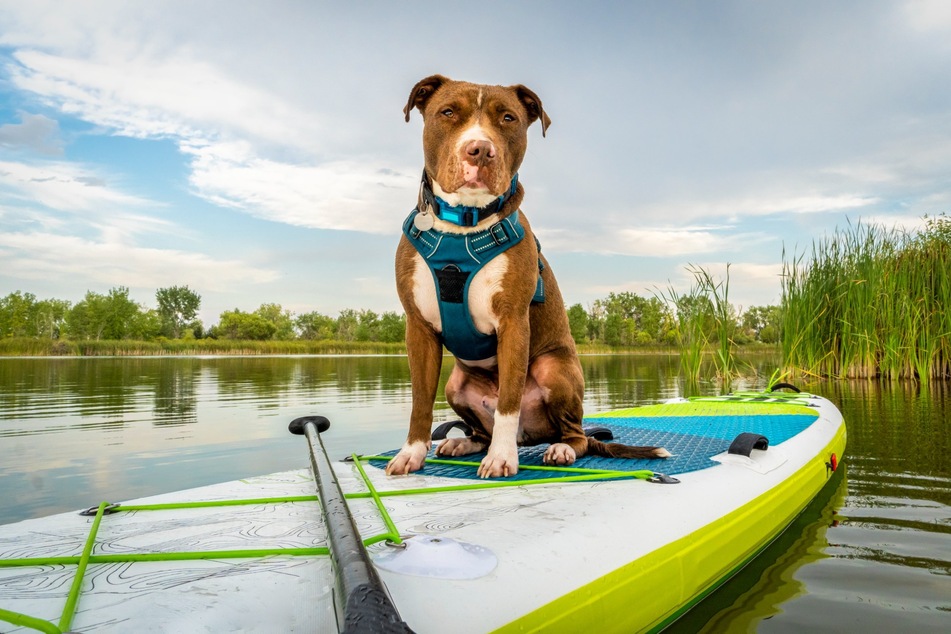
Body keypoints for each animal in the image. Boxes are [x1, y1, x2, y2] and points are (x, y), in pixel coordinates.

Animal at [386, 74, 668, 476]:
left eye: (508, 118)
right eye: (448, 112)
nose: (480, 150)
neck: (465, 224)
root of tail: (531, 437)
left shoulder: (514, 323)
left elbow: (509, 400)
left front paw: (502, 458)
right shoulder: (419, 328)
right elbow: (421, 400)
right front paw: (411, 453)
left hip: (553, 368)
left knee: (577, 434)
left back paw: (559, 449)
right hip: (455, 384)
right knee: (481, 428)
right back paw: (464, 441)